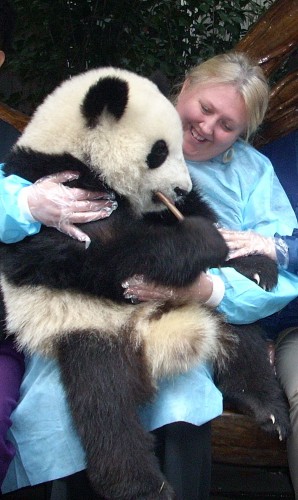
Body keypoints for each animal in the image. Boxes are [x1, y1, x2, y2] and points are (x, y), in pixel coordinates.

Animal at [0, 67, 288, 500]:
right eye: (159, 151)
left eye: (183, 146)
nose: (181, 188)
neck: (75, 149)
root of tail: (151, 338)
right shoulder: (55, 185)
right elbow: (95, 255)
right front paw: (203, 240)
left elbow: (201, 214)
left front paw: (254, 262)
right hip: (85, 324)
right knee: (105, 402)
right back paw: (142, 485)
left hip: (210, 309)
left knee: (244, 338)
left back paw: (265, 405)